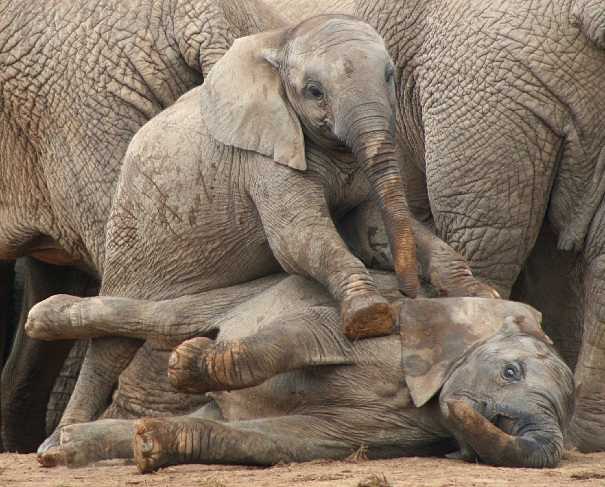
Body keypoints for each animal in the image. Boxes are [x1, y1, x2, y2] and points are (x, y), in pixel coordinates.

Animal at [27, 272, 572, 470]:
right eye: (510, 372)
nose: (476, 410)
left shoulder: (399, 429)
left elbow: (289, 441)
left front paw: (152, 446)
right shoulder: (386, 322)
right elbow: (306, 332)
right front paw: (187, 363)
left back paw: (61, 448)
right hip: (256, 288)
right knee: (167, 316)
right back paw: (44, 316)